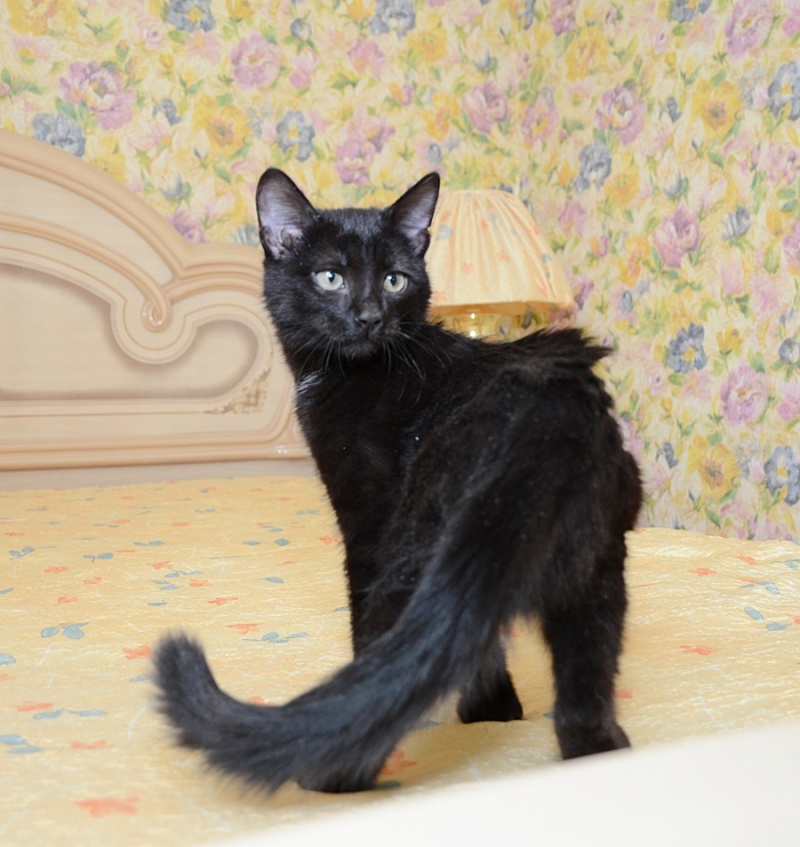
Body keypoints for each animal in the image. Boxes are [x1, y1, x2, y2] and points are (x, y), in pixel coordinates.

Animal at [153, 169, 642, 794]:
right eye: (330, 277)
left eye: (394, 279)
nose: (368, 316)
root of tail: (543, 418)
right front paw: (494, 716)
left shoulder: (365, 515)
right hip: (595, 567)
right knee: (578, 688)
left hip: (417, 548)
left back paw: (331, 771)